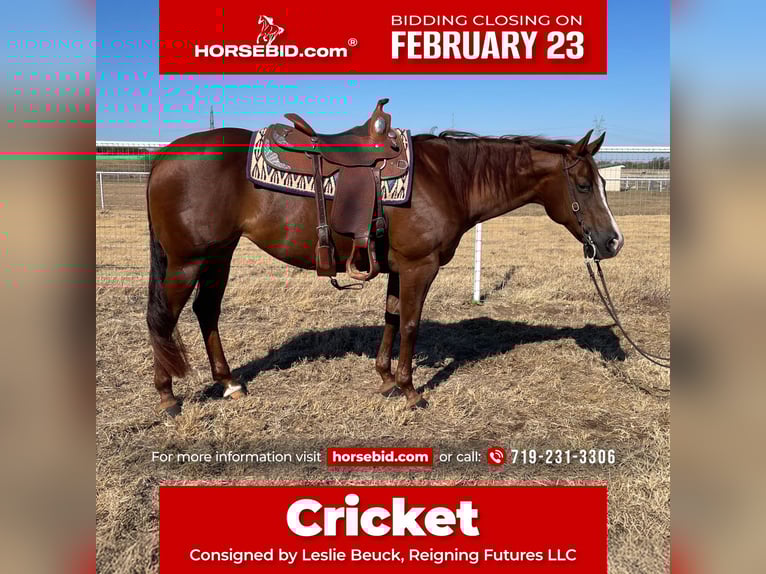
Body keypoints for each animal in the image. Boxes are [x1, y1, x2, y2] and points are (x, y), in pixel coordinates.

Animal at [145, 126, 622, 416]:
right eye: (583, 185)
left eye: (602, 183)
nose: (613, 242)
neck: (447, 178)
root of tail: (163, 158)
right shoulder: (419, 267)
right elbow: (410, 324)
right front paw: (411, 391)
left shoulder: (399, 268)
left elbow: (392, 318)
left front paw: (387, 379)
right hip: (188, 261)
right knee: (162, 319)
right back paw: (168, 396)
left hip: (218, 255)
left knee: (206, 312)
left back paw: (229, 383)